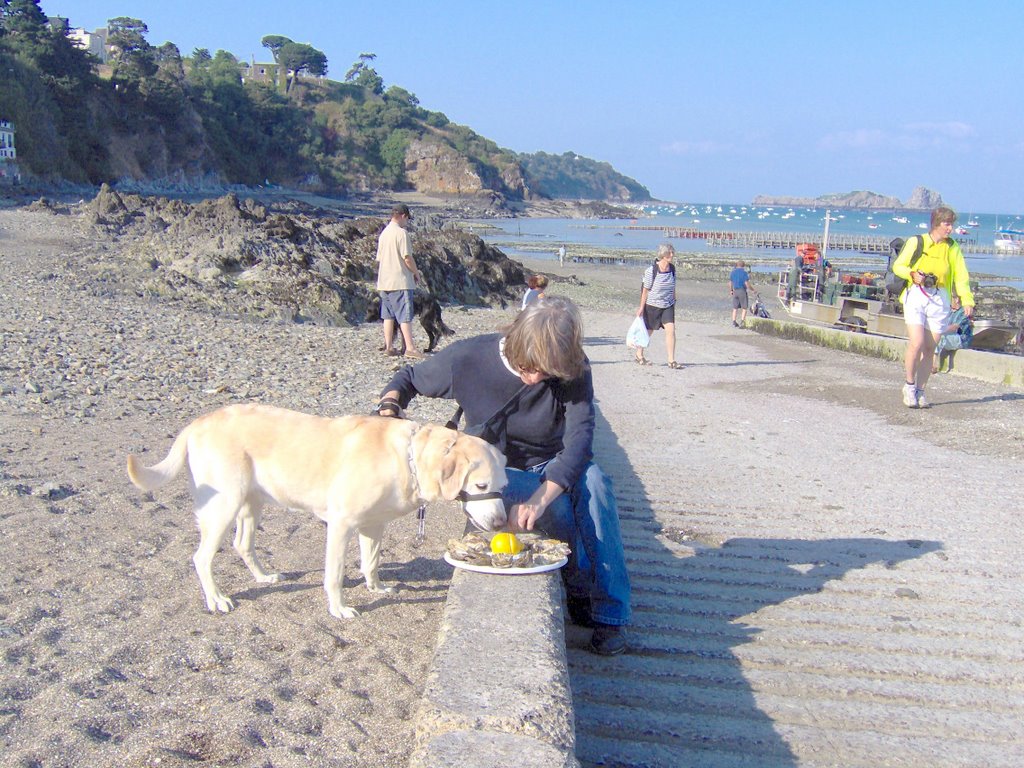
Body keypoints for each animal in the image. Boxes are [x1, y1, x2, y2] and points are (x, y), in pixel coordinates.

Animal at [128, 405, 507, 622]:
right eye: (482, 485)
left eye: (504, 483)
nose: (502, 522)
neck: (410, 458)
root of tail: (196, 424)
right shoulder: (340, 525)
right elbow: (335, 574)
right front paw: (338, 609)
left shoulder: (373, 526)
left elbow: (371, 562)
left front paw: (376, 587)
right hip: (224, 505)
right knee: (201, 557)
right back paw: (216, 598)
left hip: (251, 502)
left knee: (242, 544)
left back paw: (263, 578)